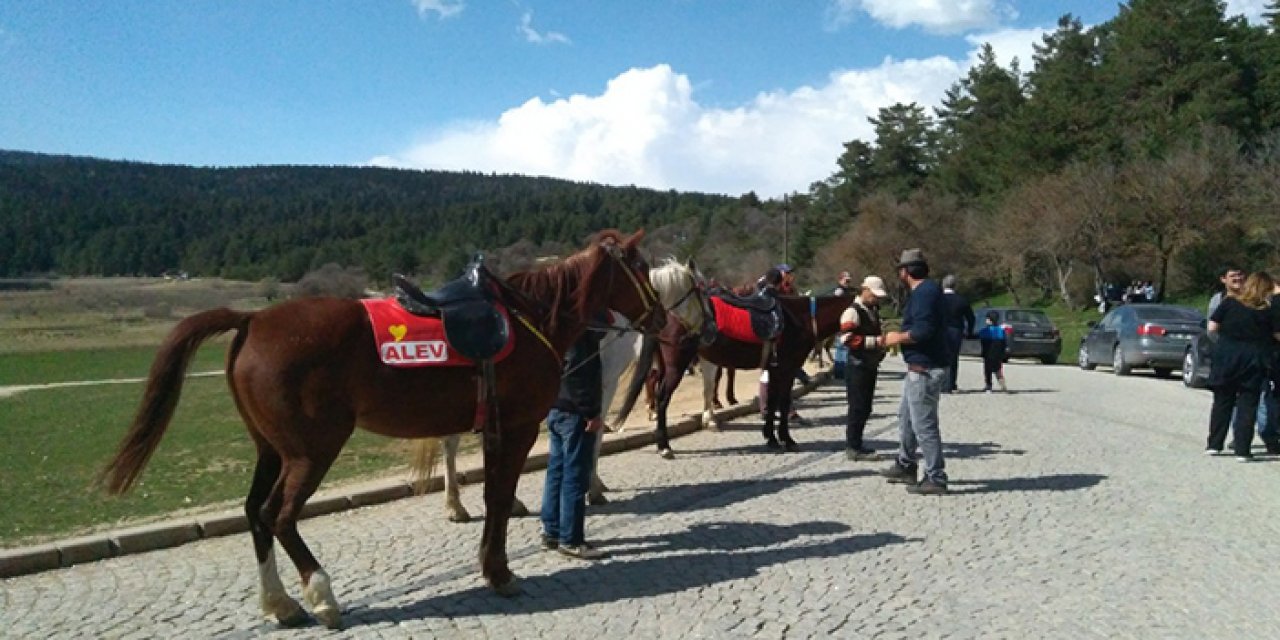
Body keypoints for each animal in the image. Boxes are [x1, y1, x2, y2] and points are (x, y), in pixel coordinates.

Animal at [97, 231, 670, 629]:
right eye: (641, 268)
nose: (662, 318)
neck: (529, 319)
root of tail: (253, 321)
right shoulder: (518, 427)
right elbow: (499, 497)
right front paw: (499, 572)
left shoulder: (495, 430)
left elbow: (495, 498)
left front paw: (491, 563)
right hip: (310, 452)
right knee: (278, 515)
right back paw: (322, 595)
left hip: (271, 451)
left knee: (255, 515)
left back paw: (280, 603)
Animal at [435, 254, 706, 519]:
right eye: (700, 291)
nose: (704, 330)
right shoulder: (605, 384)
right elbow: (595, 433)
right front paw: (593, 488)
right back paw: (460, 505)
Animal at [619, 290, 849, 455]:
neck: (802, 317)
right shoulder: (787, 368)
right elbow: (782, 402)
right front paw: (787, 439)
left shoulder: (774, 369)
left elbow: (772, 400)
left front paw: (771, 438)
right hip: (677, 365)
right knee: (662, 397)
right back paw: (664, 445)